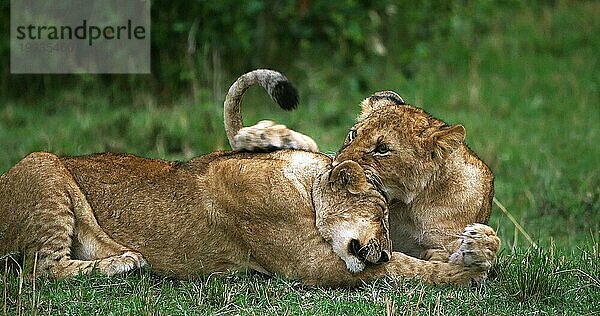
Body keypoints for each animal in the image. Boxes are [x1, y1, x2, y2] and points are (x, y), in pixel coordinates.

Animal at [227, 70, 494, 262]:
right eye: (353, 134)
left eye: (382, 148)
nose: (336, 165)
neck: (411, 205)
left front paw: (476, 245)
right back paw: (264, 136)